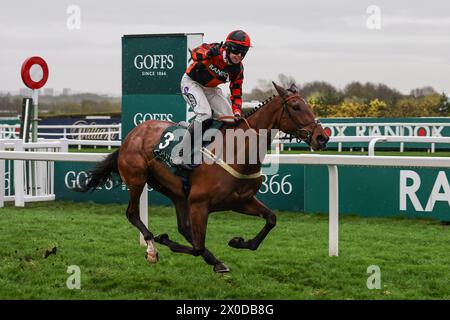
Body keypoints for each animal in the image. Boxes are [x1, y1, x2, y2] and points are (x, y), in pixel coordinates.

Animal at [78, 82, 326, 272]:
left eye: (309, 105)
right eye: (295, 107)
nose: (321, 137)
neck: (237, 152)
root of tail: (132, 134)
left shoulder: (240, 201)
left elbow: (271, 219)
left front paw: (238, 242)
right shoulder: (200, 203)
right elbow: (196, 247)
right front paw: (163, 239)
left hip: (175, 191)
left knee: (183, 227)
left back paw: (214, 260)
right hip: (137, 179)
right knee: (132, 214)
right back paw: (152, 248)